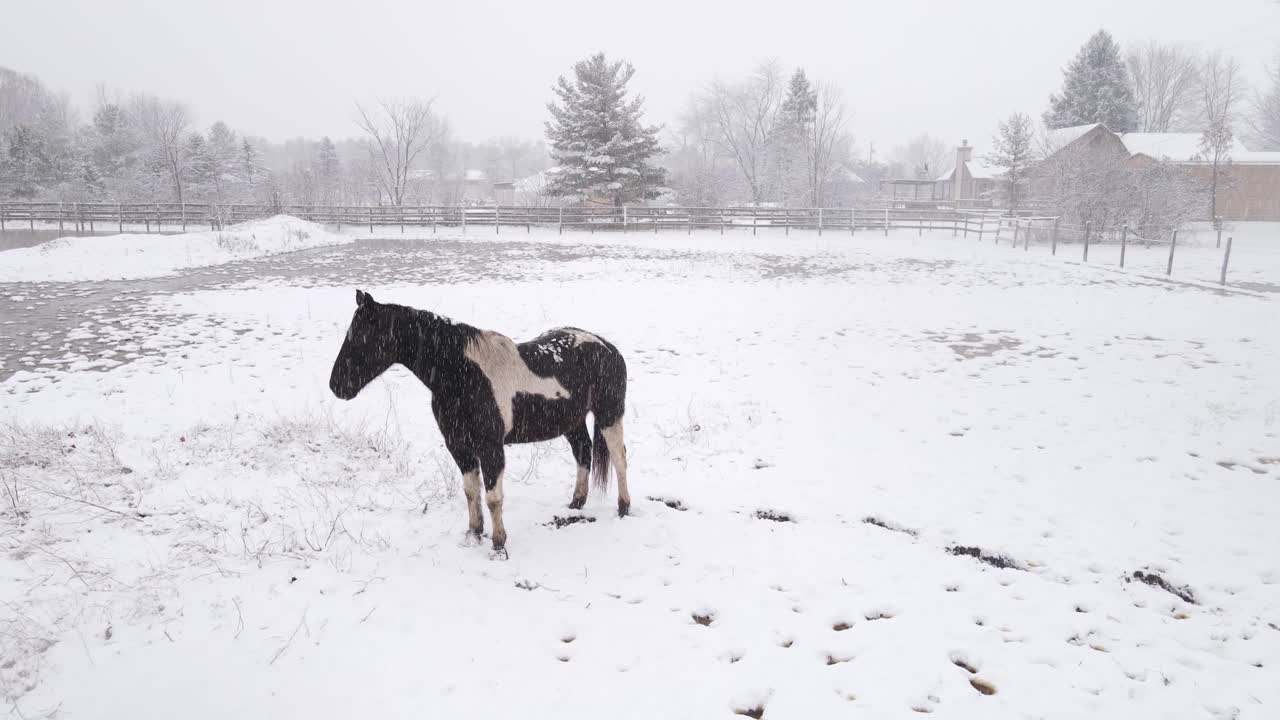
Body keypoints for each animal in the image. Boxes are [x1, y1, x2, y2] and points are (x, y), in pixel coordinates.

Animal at [328, 289, 629, 559]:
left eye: (363, 336)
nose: (336, 386)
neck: (463, 375)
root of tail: (607, 346)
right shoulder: (459, 446)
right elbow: (471, 492)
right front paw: (473, 535)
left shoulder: (490, 448)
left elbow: (493, 498)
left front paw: (498, 546)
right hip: (572, 423)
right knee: (583, 454)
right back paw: (575, 504)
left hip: (609, 416)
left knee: (619, 458)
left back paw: (623, 509)